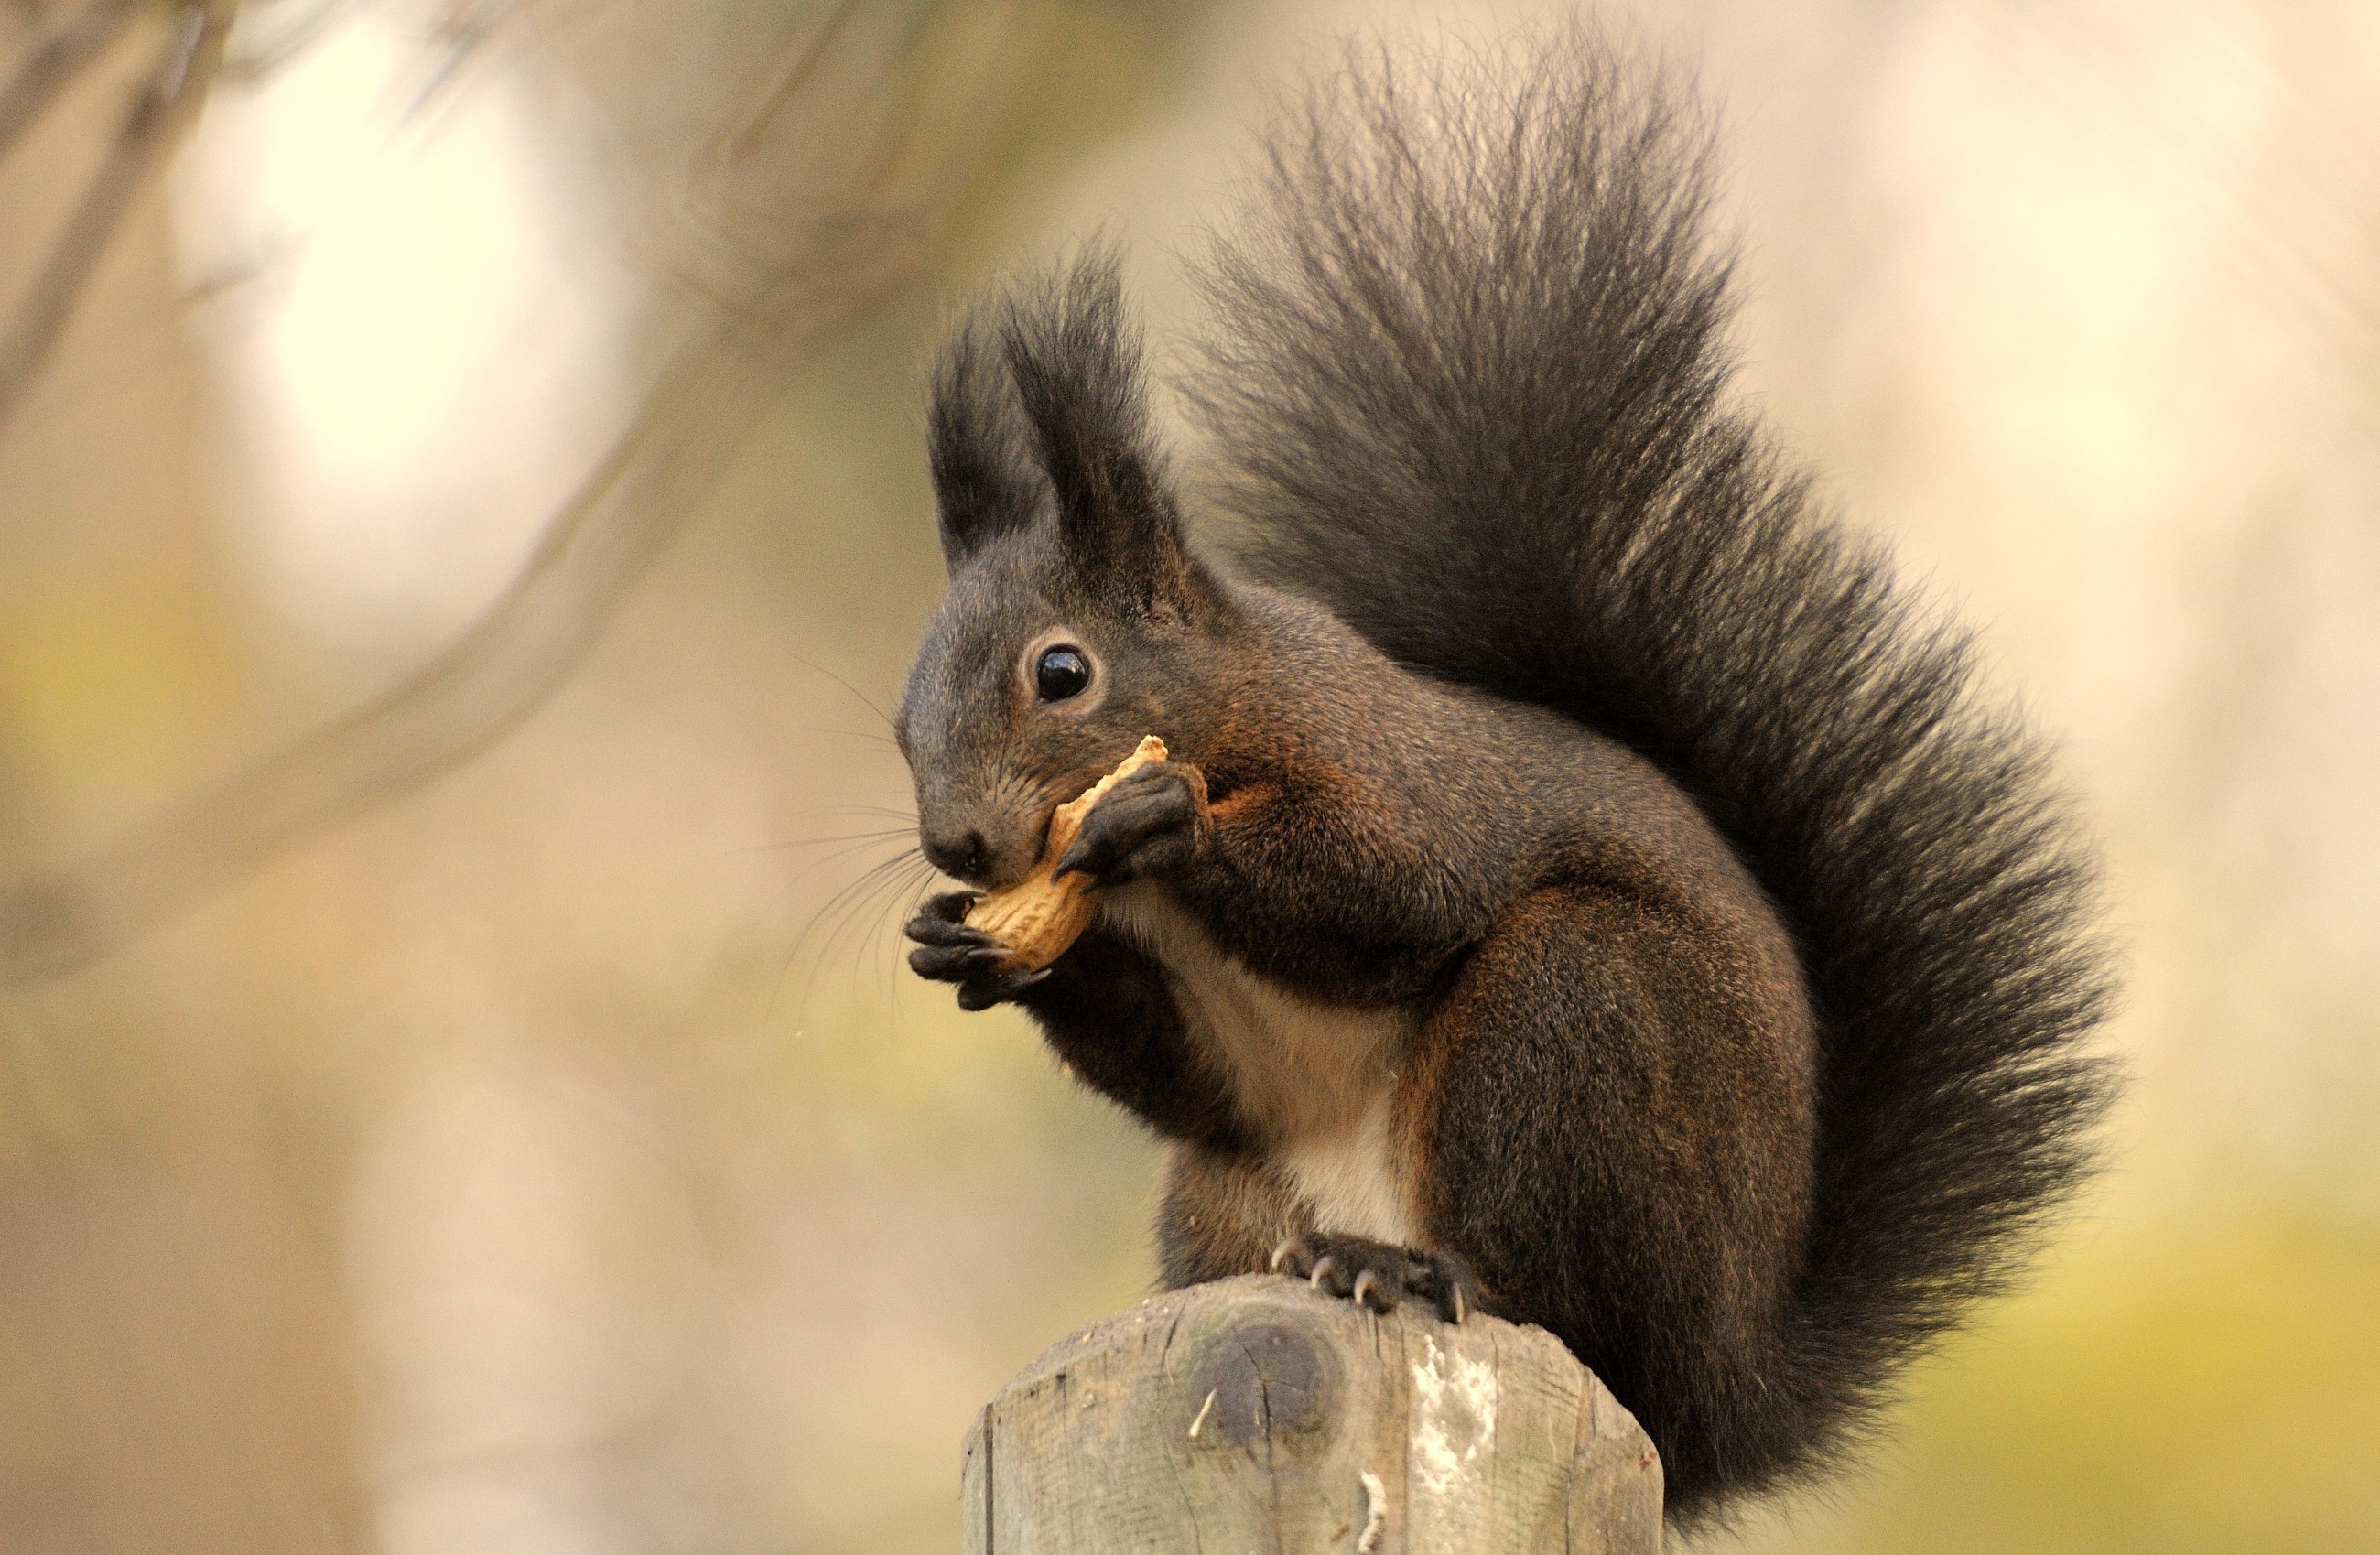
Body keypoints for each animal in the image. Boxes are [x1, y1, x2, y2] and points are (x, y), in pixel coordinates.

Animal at [894, 30, 2123, 1524]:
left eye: (1061, 672)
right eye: (899, 718)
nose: (957, 845)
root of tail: (1715, 1394)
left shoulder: (1398, 768)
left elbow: (1398, 892)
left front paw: (1163, 820)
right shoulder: (1203, 1046)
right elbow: (1187, 1077)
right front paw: (967, 947)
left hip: (1577, 1021)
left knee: (1548, 1286)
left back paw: (1418, 1269)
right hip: (1225, 1194)